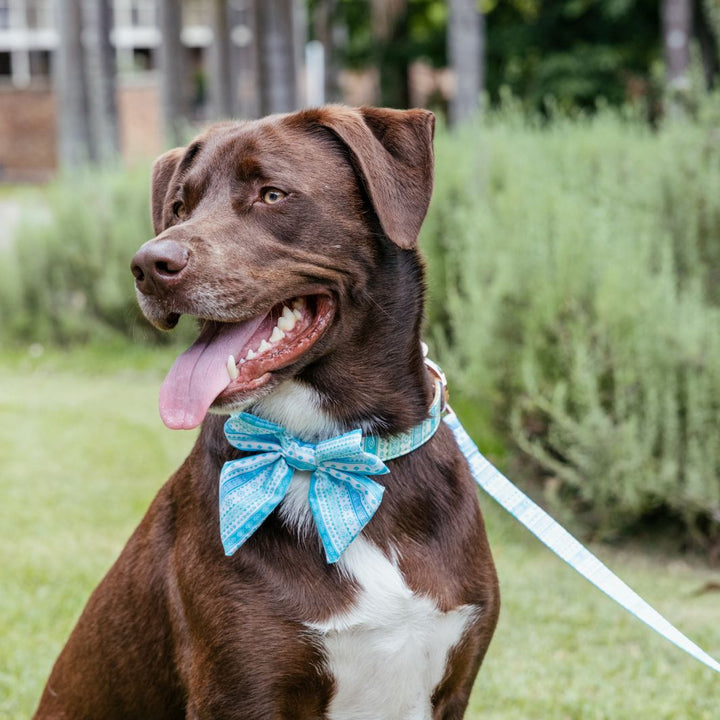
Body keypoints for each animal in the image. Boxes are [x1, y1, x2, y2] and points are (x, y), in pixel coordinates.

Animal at [33, 105, 500, 720]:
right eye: (178, 207)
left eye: (272, 194)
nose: (148, 264)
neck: (327, 448)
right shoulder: (241, 690)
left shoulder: (452, 684)